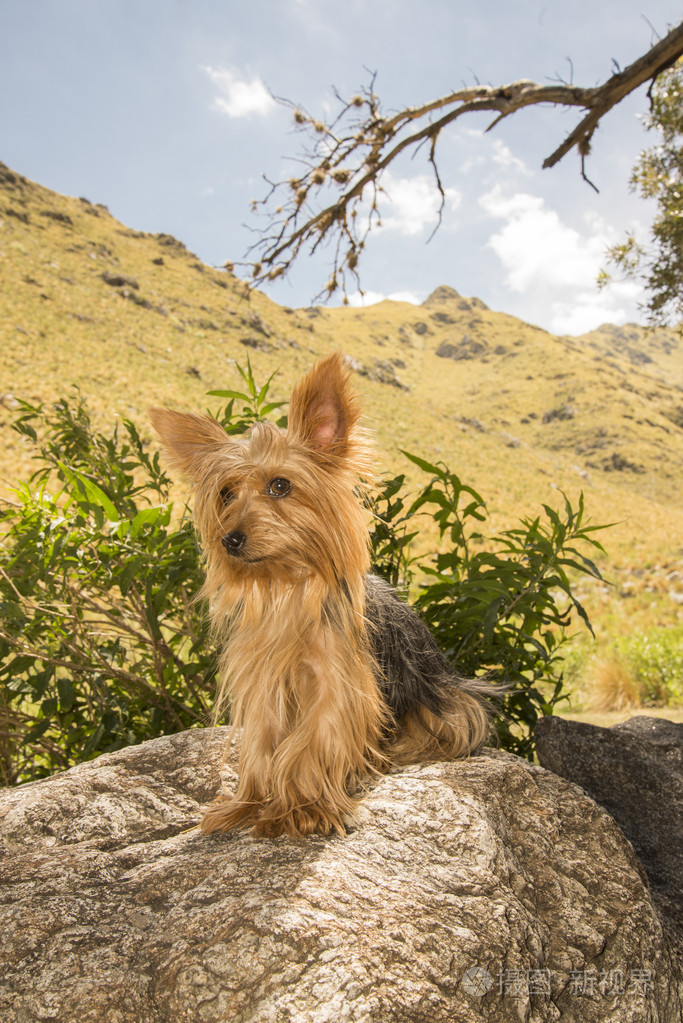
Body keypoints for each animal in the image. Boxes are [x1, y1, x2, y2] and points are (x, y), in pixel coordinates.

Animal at [152, 347, 492, 834]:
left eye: (280, 485)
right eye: (226, 493)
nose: (229, 539)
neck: (289, 586)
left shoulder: (336, 681)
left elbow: (314, 740)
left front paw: (304, 807)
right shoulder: (263, 679)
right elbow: (264, 740)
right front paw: (250, 802)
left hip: (448, 703)